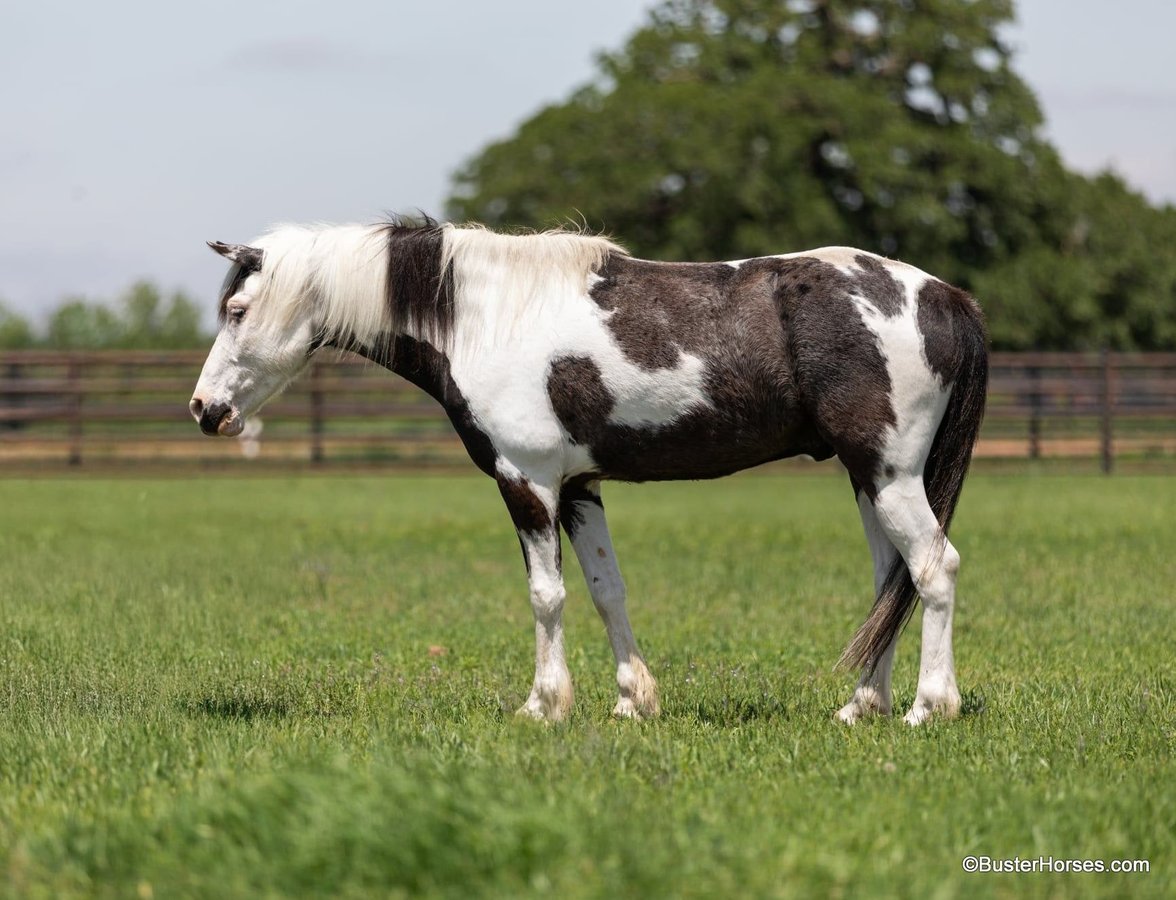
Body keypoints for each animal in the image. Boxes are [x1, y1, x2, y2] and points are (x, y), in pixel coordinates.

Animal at [190, 218, 988, 725]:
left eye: (238, 309)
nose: (204, 408)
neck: (483, 318)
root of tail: (946, 297)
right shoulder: (579, 489)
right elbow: (608, 590)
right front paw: (633, 701)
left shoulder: (527, 482)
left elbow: (547, 595)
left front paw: (544, 706)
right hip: (867, 478)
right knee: (892, 582)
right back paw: (861, 706)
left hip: (890, 476)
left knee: (935, 568)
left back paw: (928, 708)